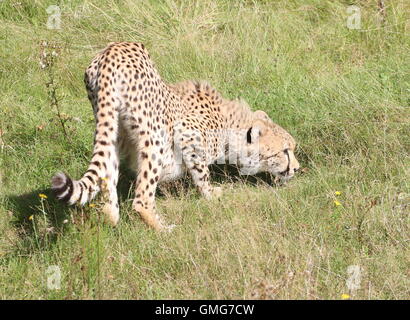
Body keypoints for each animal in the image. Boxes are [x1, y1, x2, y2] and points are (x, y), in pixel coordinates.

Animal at [52, 42, 300, 231]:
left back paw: (113, 221)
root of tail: (112, 50)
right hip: (154, 139)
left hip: (110, 129)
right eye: (284, 151)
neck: (228, 124)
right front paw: (211, 195)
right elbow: (201, 173)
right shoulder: (187, 133)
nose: (297, 168)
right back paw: (164, 230)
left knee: (107, 186)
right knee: (142, 199)